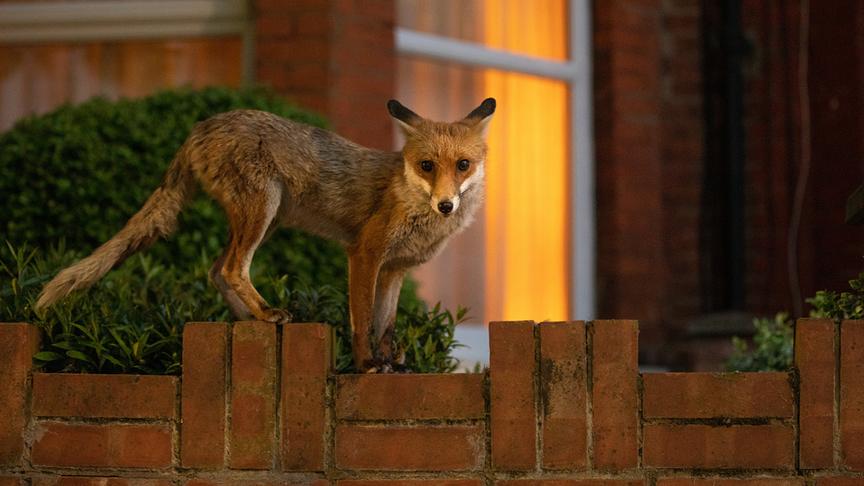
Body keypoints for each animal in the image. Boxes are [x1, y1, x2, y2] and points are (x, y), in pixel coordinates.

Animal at [34, 97, 496, 372]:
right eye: (426, 166)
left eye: (463, 165)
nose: (446, 205)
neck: (410, 200)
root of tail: (202, 125)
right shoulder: (364, 253)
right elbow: (363, 320)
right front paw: (366, 364)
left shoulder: (395, 269)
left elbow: (386, 323)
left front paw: (389, 364)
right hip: (262, 209)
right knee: (233, 268)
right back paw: (265, 313)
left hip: (265, 218)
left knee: (216, 270)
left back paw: (247, 320)